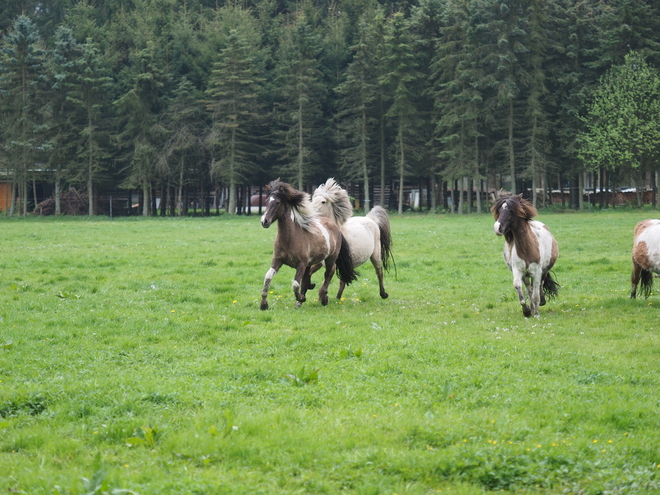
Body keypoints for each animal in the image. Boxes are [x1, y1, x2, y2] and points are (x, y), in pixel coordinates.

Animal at [260, 178, 358, 310]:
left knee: (329, 273)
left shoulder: (301, 264)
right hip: (310, 264)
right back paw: (302, 301)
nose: (264, 221)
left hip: (330, 259)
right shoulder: (277, 260)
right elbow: (268, 277)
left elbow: (295, 284)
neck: (290, 239)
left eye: (278, 202)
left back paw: (324, 298)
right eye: (266, 201)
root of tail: (334, 225)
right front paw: (264, 304)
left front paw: (301, 297)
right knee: (308, 279)